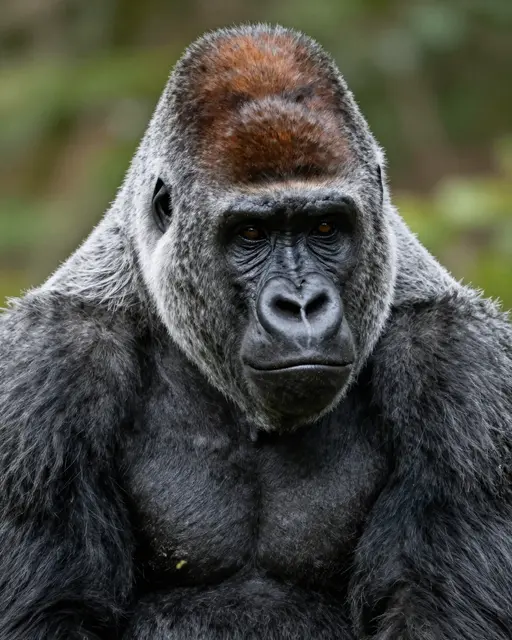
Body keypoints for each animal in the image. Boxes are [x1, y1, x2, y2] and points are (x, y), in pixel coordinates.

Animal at [0, 24, 511, 640]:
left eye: (325, 228)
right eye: (250, 234)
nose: (301, 306)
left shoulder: (465, 372)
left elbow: (433, 606)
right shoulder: (42, 375)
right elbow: (54, 611)